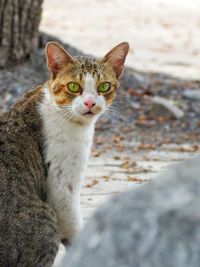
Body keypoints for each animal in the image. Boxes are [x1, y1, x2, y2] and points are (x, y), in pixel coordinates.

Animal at [0, 40, 129, 266]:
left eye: (104, 86)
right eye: (73, 86)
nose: (90, 103)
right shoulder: (62, 188)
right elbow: (74, 226)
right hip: (45, 217)